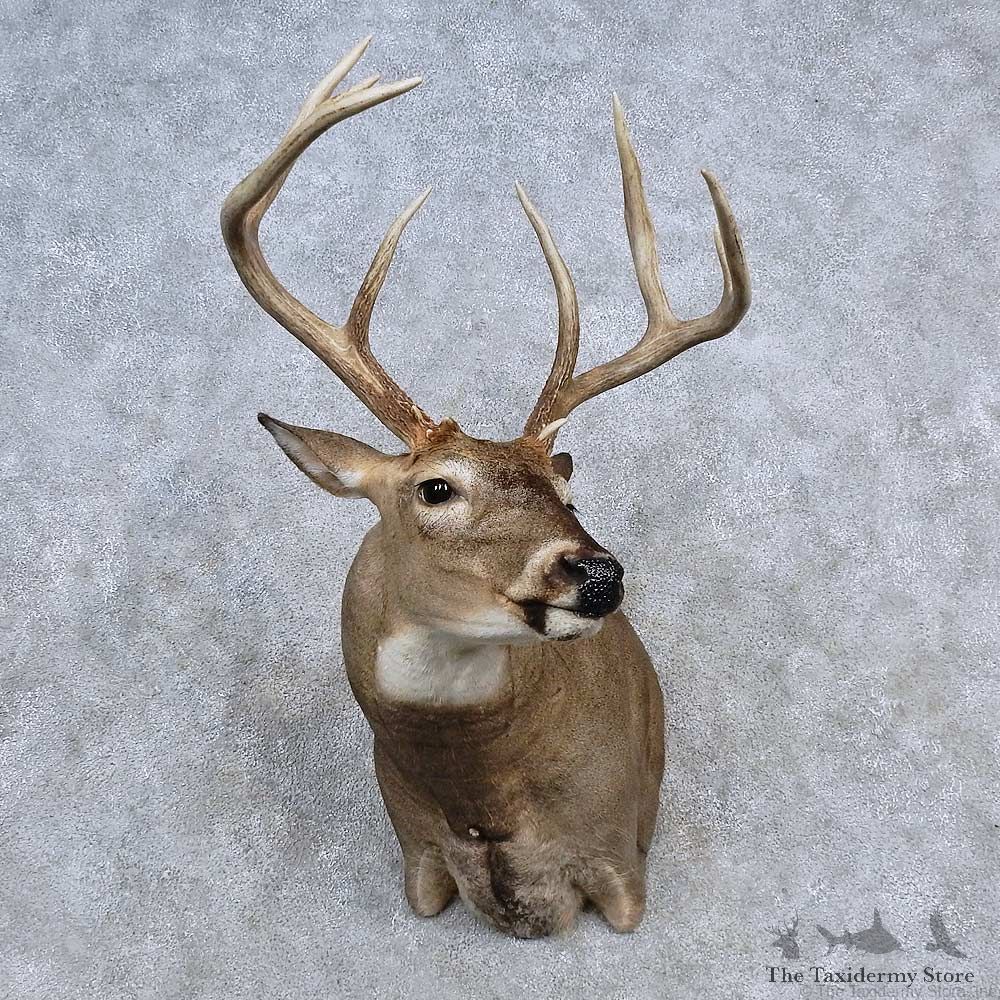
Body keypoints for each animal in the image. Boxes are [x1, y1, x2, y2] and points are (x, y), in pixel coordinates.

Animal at [221, 37, 751, 938]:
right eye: (436, 489)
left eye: (567, 495)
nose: (598, 574)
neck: (483, 804)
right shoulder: (418, 860)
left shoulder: (621, 860)